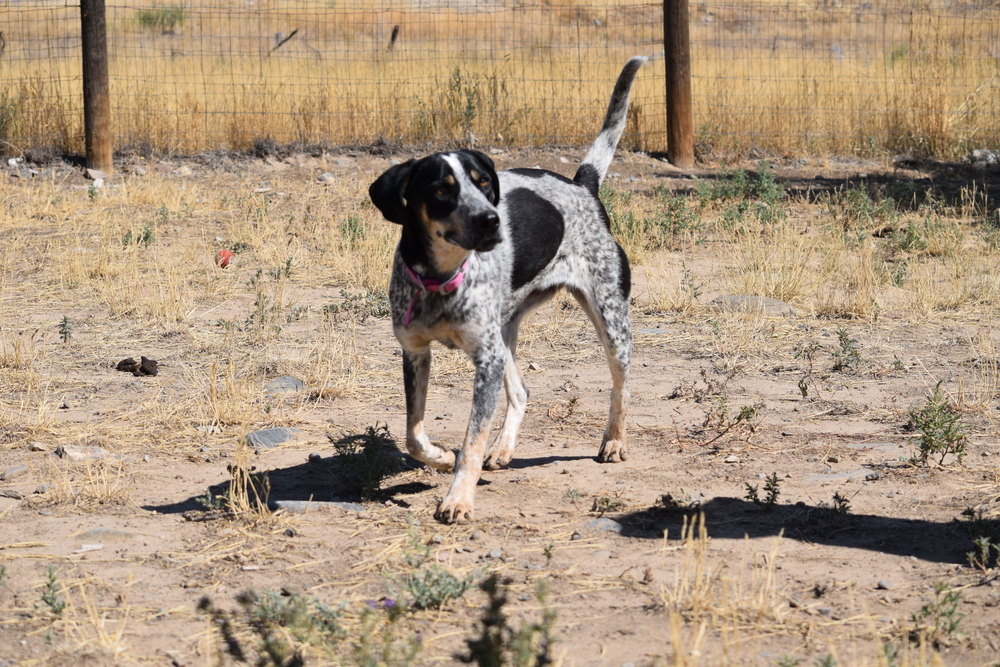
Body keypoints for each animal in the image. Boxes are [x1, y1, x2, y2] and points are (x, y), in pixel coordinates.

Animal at [372, 57, 644, 524]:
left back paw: (614, 441)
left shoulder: (485, 359)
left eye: (483, 183)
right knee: (521, 390)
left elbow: (472, 439)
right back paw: (502, 449)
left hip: (610, 322)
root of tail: (582, 184)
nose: (491, 220)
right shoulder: (416, 352)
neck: (442, 278)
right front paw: (442, 458)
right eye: (440, 188)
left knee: (620, 386)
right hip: (504, 334)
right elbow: (414, 435)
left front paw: (459, 498)